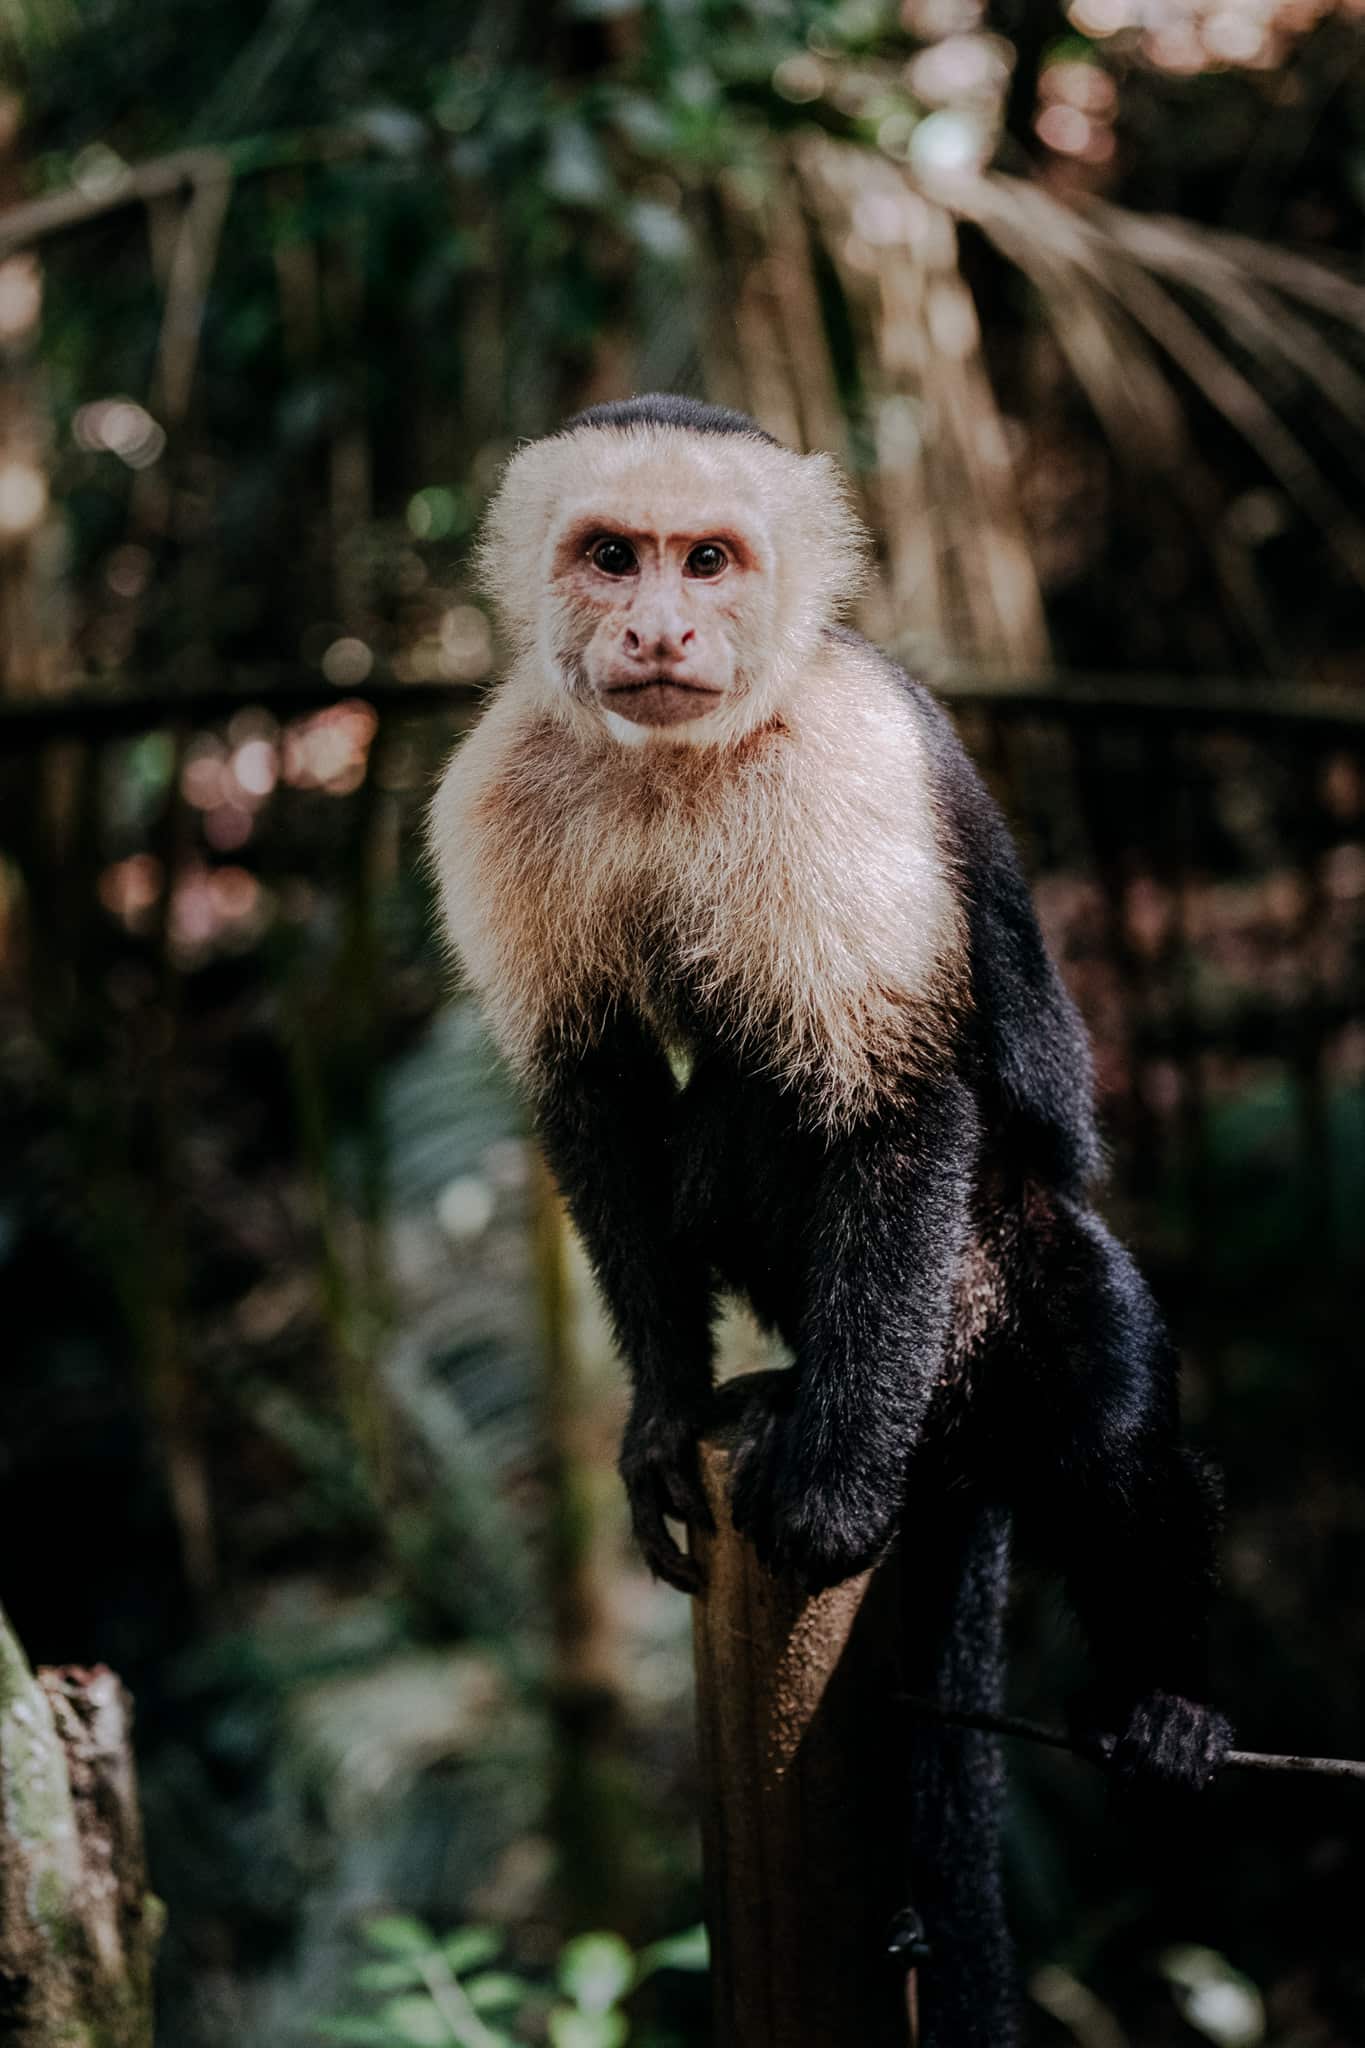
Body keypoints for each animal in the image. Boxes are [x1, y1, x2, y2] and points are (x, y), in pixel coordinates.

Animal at [429, 393, 1232, 2046]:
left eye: (708, 560)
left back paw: (1162, 1689)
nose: (660, 629)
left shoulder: (842, 766)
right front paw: (664, 1421)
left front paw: (840, 1491)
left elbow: (900, 1098)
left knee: (1103, 1420)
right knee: (730, 1113)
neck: (682, 757)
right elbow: (598, 1100)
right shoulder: (498, 780)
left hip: (990, 1281)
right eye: (611, 556)